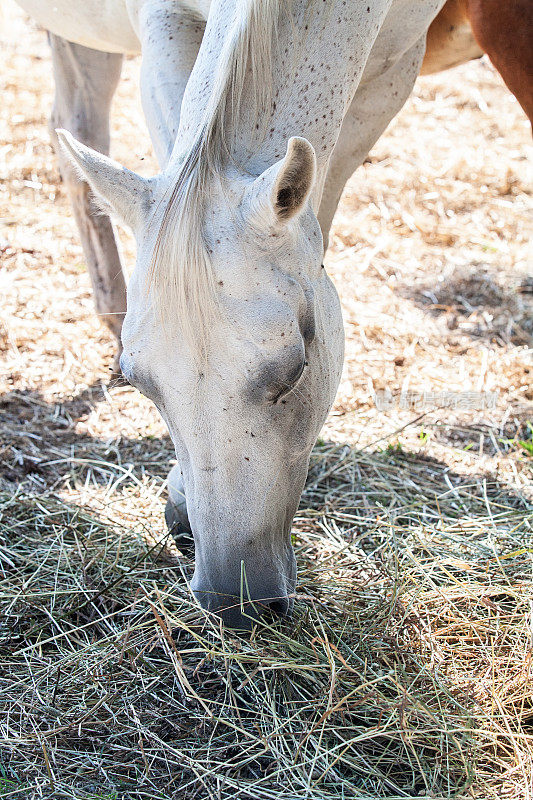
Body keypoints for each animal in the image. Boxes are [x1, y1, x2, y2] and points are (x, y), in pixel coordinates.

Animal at [16, 0, 446, 624]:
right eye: (138, 382)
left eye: (296, 369)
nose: (233, 600)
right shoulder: (165, 23)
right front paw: (179, 500)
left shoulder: (393, 69)